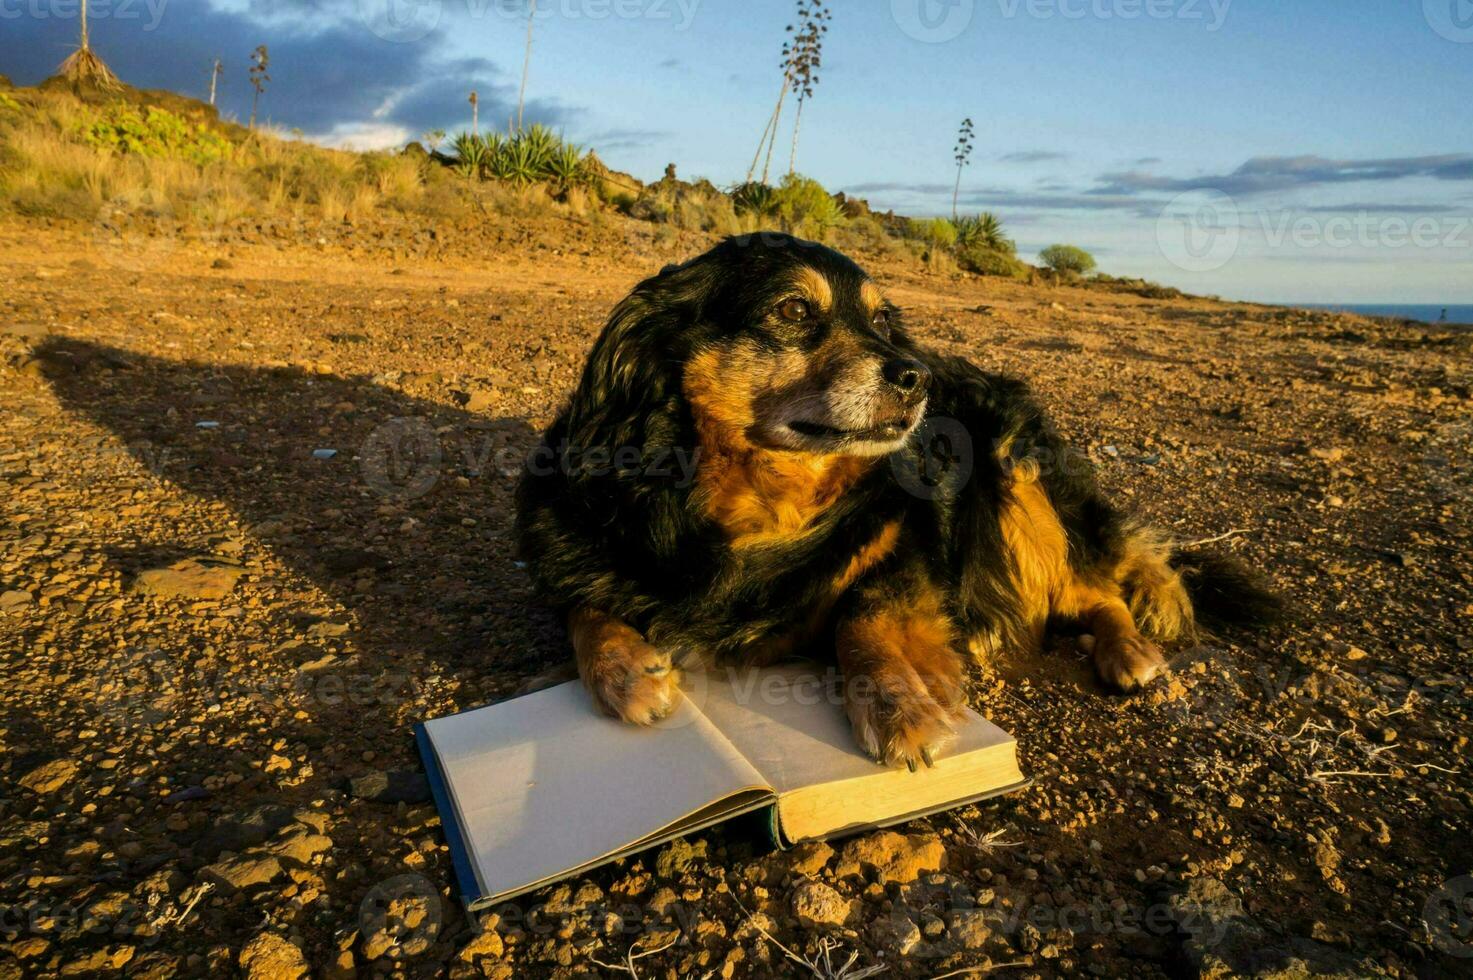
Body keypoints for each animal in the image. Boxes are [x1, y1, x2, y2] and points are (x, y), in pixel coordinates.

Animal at [518, 232, 1278, 766]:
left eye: (883, 321)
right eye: (793, 310)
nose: (917, 379)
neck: (761, 508)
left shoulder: (907, 547)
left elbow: (864, 616)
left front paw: (900, 707)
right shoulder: (573, 531)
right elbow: (579, 604)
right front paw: (624, 669)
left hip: (1015, 485)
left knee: (1098, 590)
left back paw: (1129, 652)